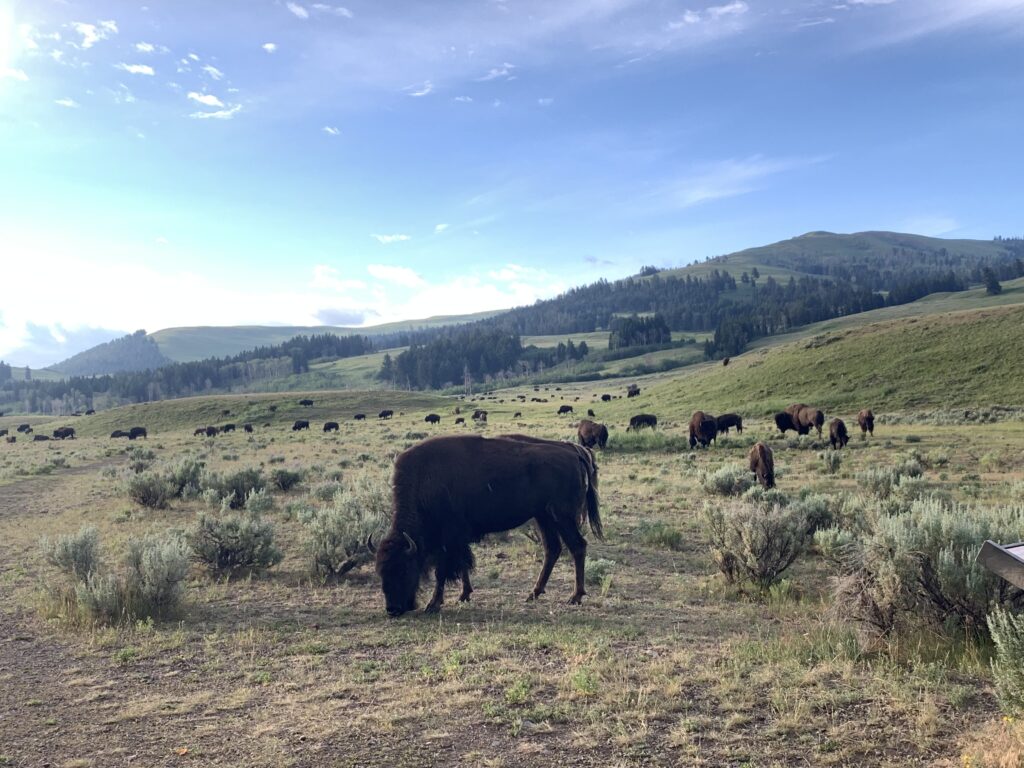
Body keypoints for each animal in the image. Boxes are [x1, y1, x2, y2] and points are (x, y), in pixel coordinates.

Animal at [372, 435, 601, 616]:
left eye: (404, 569)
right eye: (380, 572)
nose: (392, 609)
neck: (425, 481)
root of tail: (574, 453)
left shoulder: (449, 538)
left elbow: (443, 570)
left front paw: (434, 604)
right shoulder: (457, 539)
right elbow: (463, 565)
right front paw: (464, 595)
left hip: (562, 517)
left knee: (577, 546)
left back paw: (575, 597)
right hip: (543, 517)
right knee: (552, 549)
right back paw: (533, 593)